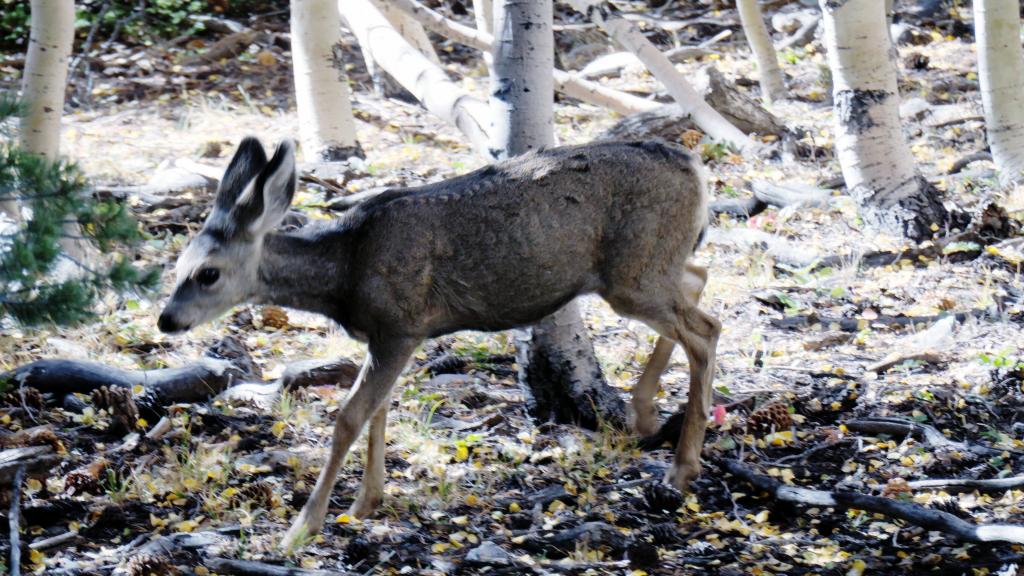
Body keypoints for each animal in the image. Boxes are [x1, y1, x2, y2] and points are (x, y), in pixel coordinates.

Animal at [157, 134, 720, 545]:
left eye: (208, 273)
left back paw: (681, 467)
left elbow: (350, 418)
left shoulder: (401, 325)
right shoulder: (386, 336)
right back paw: (645, 412)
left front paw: (301, 528)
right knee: (699, 281)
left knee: (705, 330)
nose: (166, 321)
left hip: (633, 274)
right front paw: (366, 502)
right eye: (177, 265)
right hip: (651, 269)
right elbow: (379, 411)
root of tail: (693, 164)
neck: (345, 271)